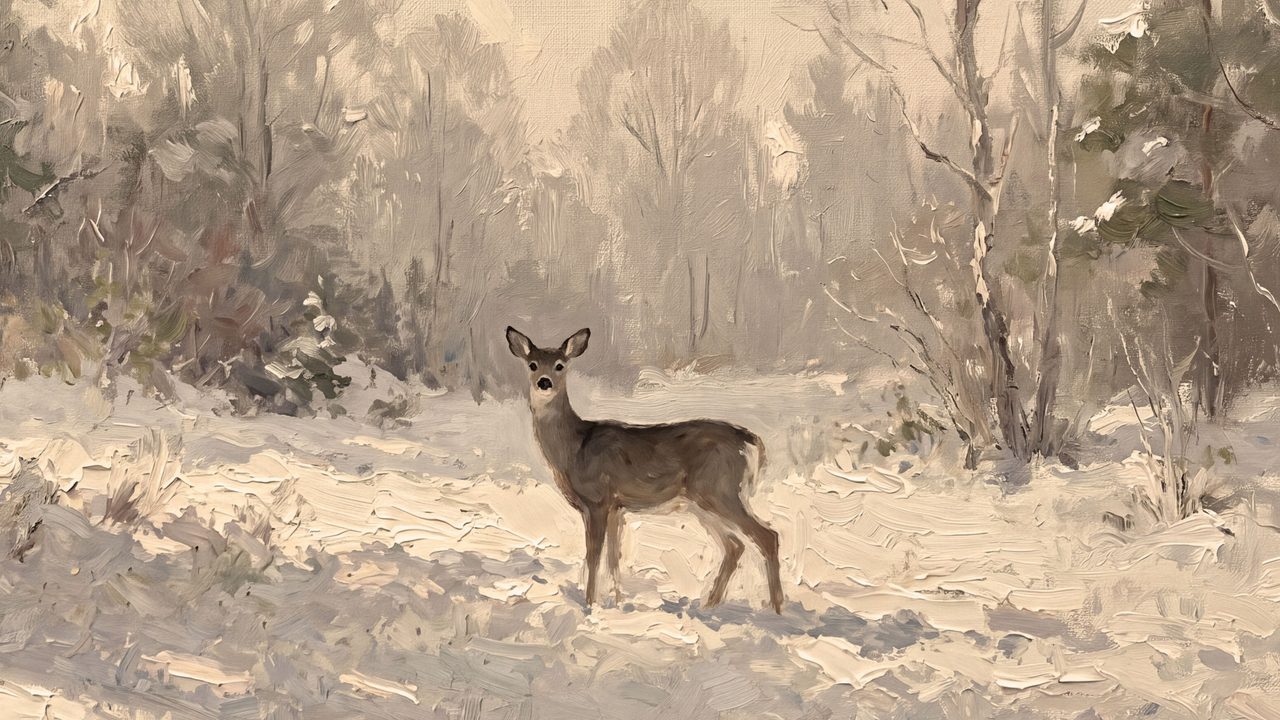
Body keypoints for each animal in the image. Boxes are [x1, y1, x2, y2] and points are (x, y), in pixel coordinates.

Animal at [505, 326, 784, 613]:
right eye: (532, 364)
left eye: (560, 365)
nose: (544, 382)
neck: (574, 448)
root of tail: (752, 442)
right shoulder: (617, 507)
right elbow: (614, 558)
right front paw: (617, 602)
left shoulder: (597, 500)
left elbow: (594, 555)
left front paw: (590, 604)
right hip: (704, 500)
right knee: (734, 545)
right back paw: (709, 604)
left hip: (720, 489)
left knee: (767, 535)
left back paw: (776, 608)